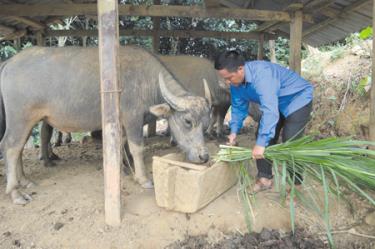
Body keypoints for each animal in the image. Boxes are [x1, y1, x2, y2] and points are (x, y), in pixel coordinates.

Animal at [0, 46, 212, 204]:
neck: (147, 81)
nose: (204, 156)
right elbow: (137, 148)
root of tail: (10, 62)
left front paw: (123, 169)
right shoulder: (133, 119)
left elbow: (120, 144)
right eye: (187, 121)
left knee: (19, 148)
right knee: (10, 147)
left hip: (27, 122)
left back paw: (25, 181)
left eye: (206, 124)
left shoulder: (121, 123)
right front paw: (143, 179)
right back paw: (15, 192)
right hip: (21, 119)